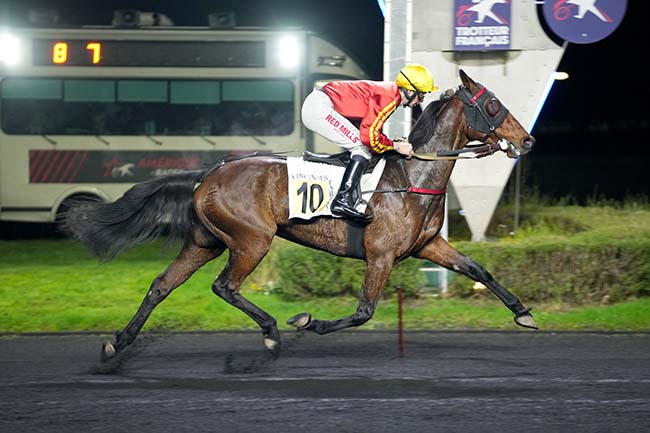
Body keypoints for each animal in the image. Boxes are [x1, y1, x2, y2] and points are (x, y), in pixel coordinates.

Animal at [64, 70, 536, 362]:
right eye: (494, 105)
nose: (527, 140)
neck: (413, 174)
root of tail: (208, 174)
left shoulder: (429, 245)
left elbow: (478, 269)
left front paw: (523, 312)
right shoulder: (380, 255)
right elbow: (364, 311)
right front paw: (307, 322)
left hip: (204, 242)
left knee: (161, 285)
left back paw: (118, 344)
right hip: (252, 240)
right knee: (224, 286)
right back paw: (271, 332)